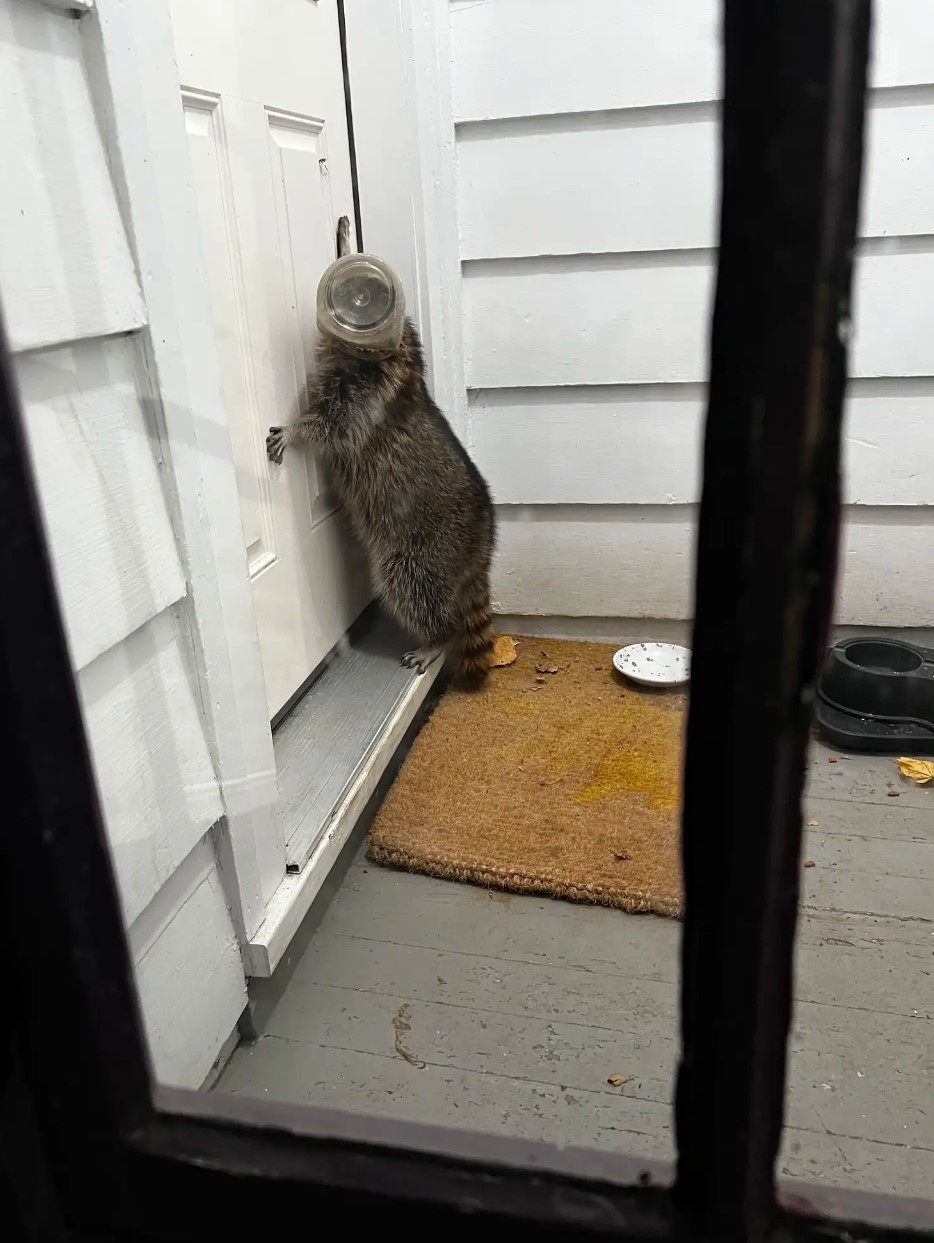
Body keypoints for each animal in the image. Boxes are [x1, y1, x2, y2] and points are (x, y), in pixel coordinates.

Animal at [268, 320, 497, 691]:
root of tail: (482, 552)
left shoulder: (368, 397)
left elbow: (334, 427)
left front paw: (296, 430)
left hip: (424, 553)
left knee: (411, 587)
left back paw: (437, 638)